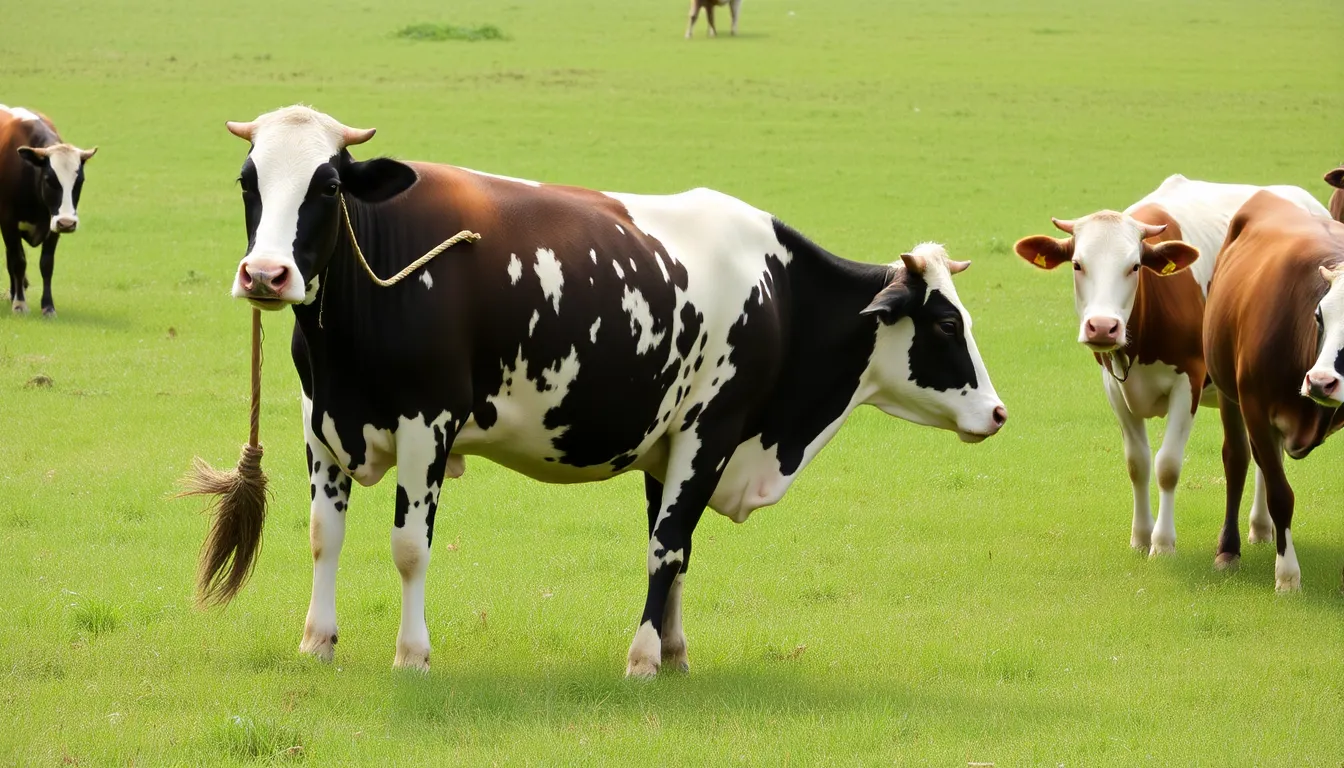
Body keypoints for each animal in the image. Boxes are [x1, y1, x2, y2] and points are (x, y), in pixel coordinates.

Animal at [0, 104, 96, 317]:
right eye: (48, 179)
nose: (68, 223)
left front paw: (48, 306)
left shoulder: (53, 224)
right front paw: (20, 303)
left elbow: (46, 264)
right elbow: (18, 261)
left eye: (80, 181)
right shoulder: (8, 222)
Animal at [215, 105, 1007, 676]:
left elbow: (668, 548)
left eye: (328, 185)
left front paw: (655, 654)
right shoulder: (326, 422)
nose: (267, 274)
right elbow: (329, 535)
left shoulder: (690, 435)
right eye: (249, 182)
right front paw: (320, 641)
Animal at [1014, 175, 1329, 561]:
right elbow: (1137, 462)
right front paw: (1140, 535)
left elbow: (1167, 465)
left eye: (1134, 266)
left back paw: (1260, 525)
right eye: (1077, 264)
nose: (1102, 327)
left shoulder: (1188, 381)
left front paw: (1162, 542)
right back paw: (1261, 525)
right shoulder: (1113, 385)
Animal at [1204, 190, 1344, 590]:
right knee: (1237, 459)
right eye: (1319, 315)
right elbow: (1281, 494)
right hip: (1229, 393)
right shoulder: (1253, 405)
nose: (1321, 381)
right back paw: (1229, 549)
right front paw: (1287, 576)